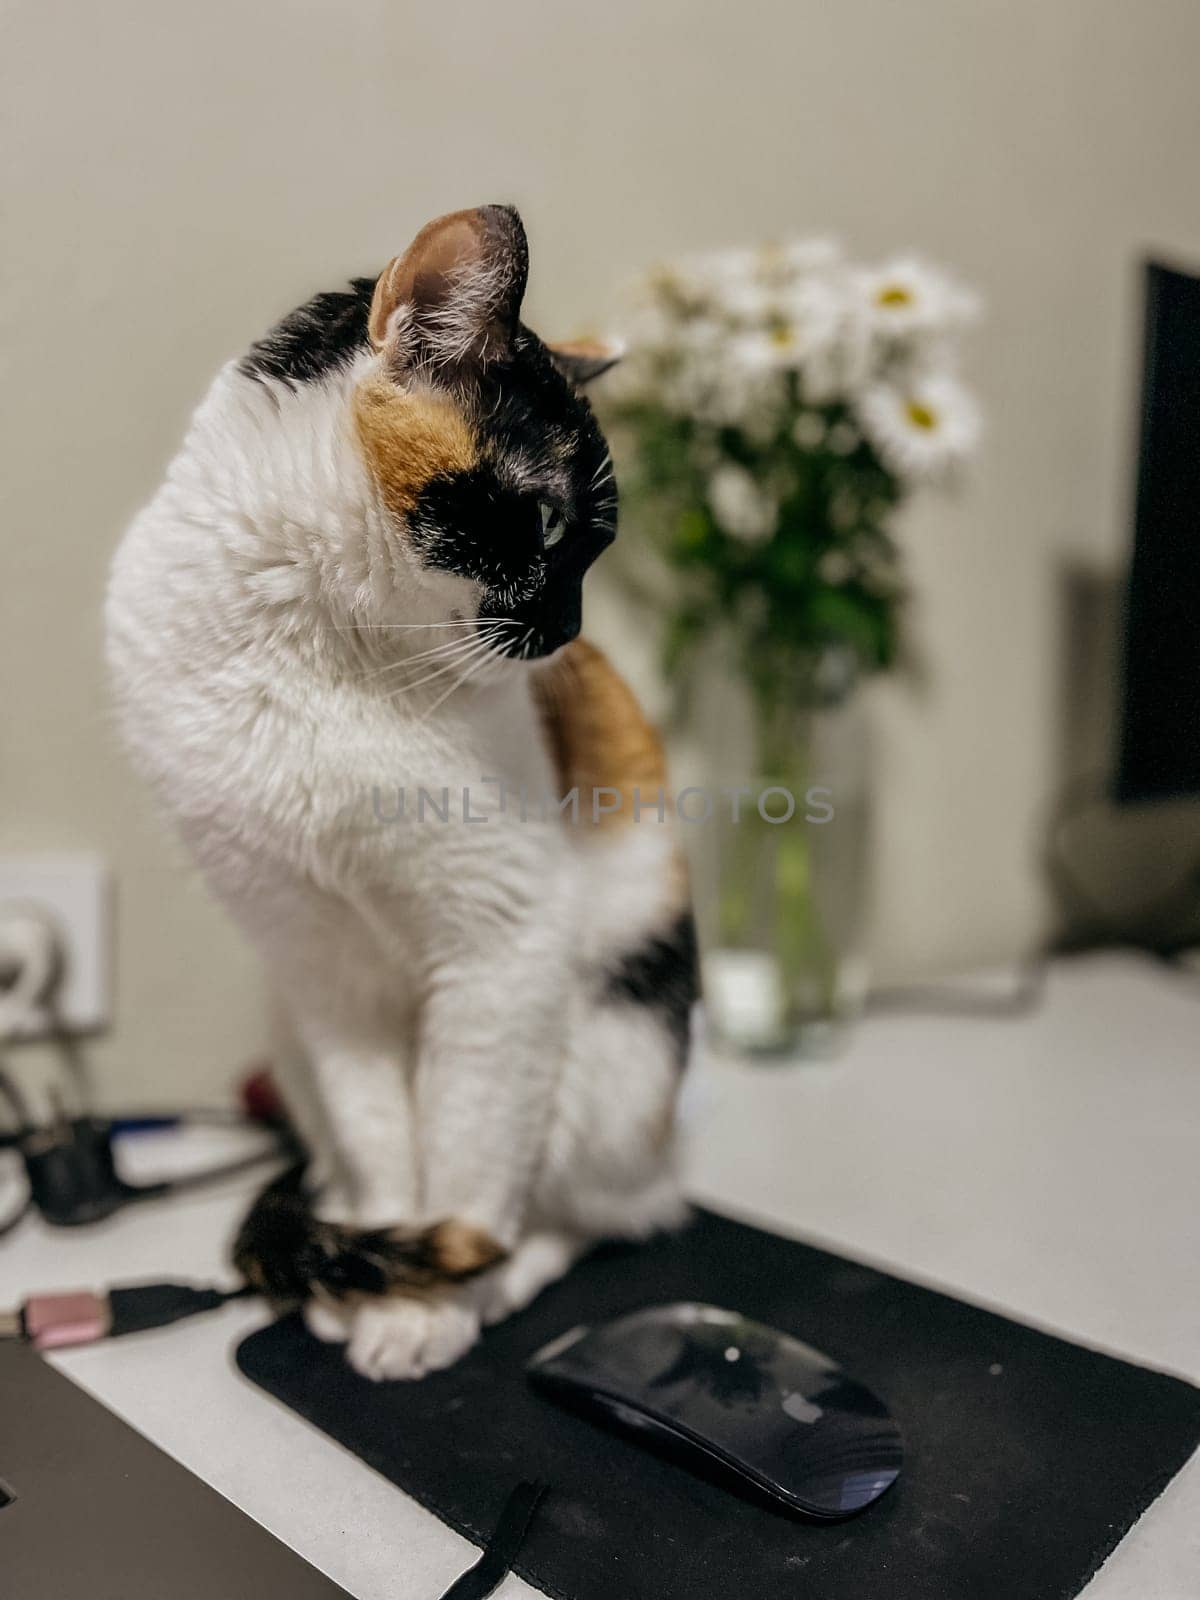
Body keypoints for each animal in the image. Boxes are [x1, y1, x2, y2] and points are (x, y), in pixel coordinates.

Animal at [112, 206, 700, 1382]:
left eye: (600, 547)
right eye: (546, 523)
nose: (569, 632)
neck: (315, 650)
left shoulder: (498, 951)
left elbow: (468, 1153)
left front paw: (430, 1306)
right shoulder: (319, 970)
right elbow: (385, 1139)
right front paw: (380, 1268)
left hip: (612, 1053)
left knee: (602, 1213)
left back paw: (496, 1278)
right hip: (291, 1040)